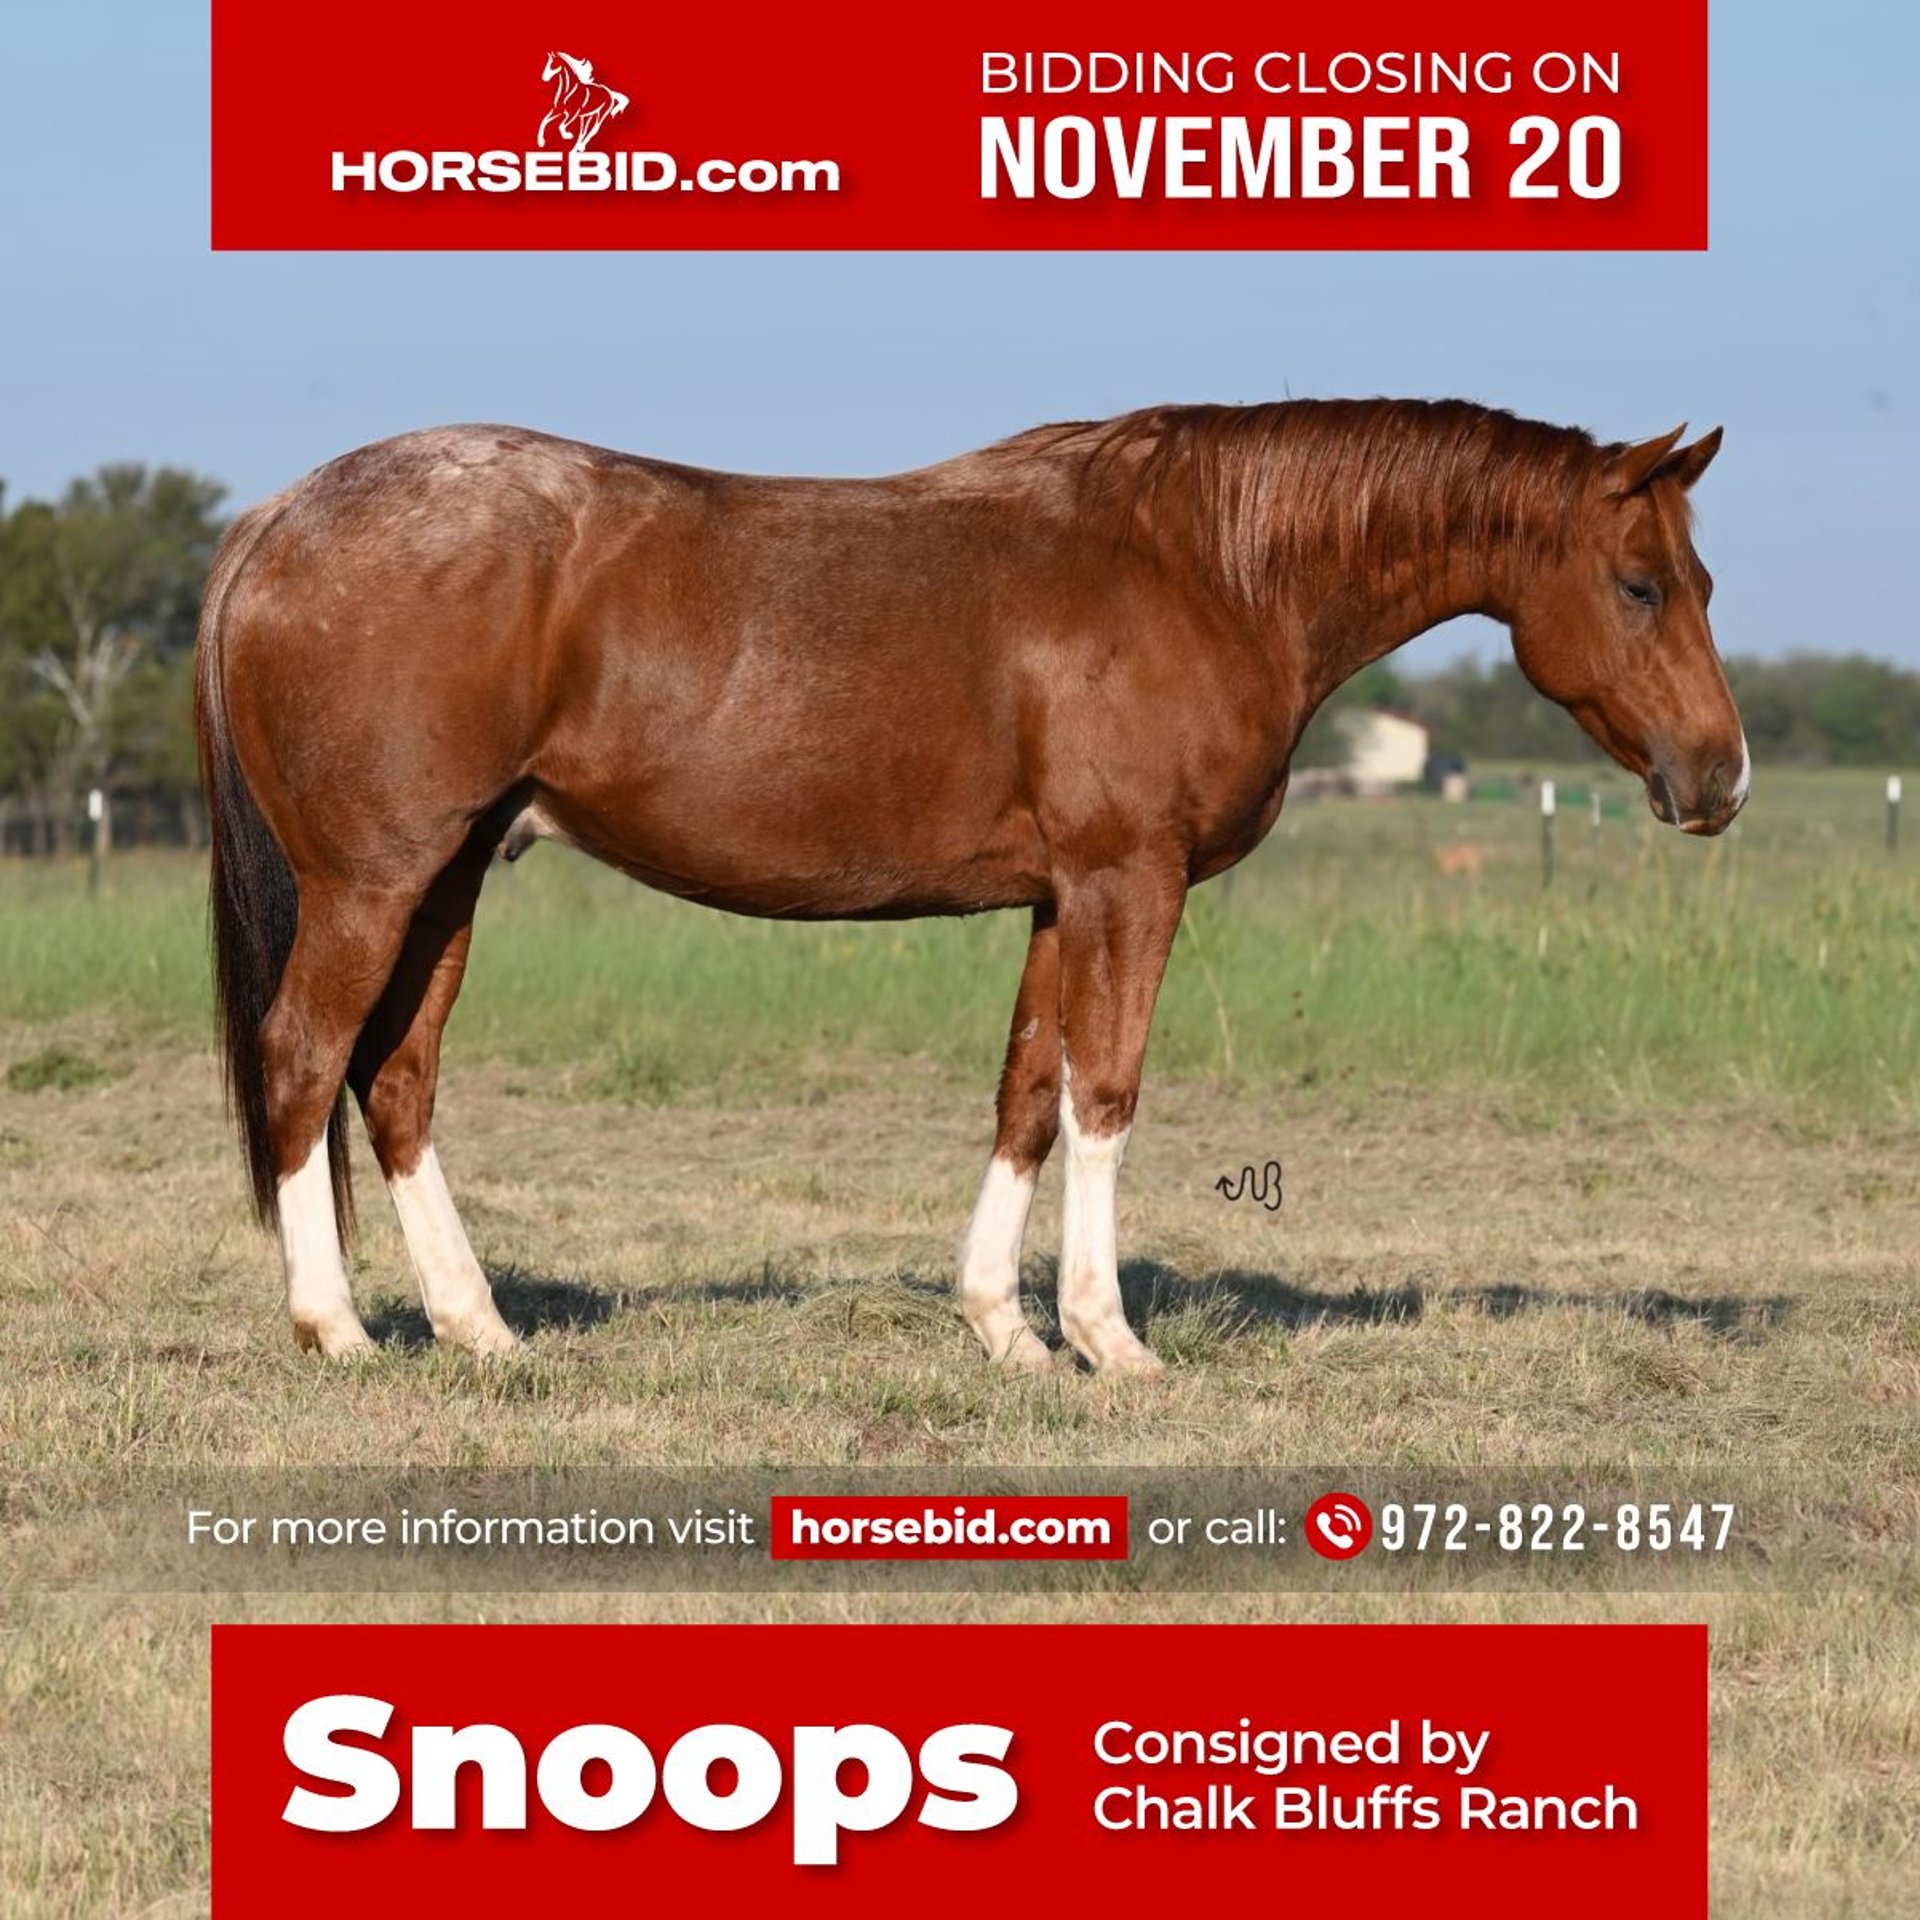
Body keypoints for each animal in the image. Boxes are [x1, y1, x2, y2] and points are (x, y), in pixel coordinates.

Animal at [193, 399, 1744, 1376]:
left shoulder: (1063, 895)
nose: (1720, 778)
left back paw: (479, 1327)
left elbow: (1027, 1097)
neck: (1207, 566)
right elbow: (1105, 1096)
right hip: (372, 881)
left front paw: (1005, 1327)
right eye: (1642, 584)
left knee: (395, 1081)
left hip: (452, 874)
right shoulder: (1130, 882)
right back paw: (337, 1330)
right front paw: (1110, 1340)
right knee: (304, 1057)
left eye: (1706, 578)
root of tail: (280, 515)